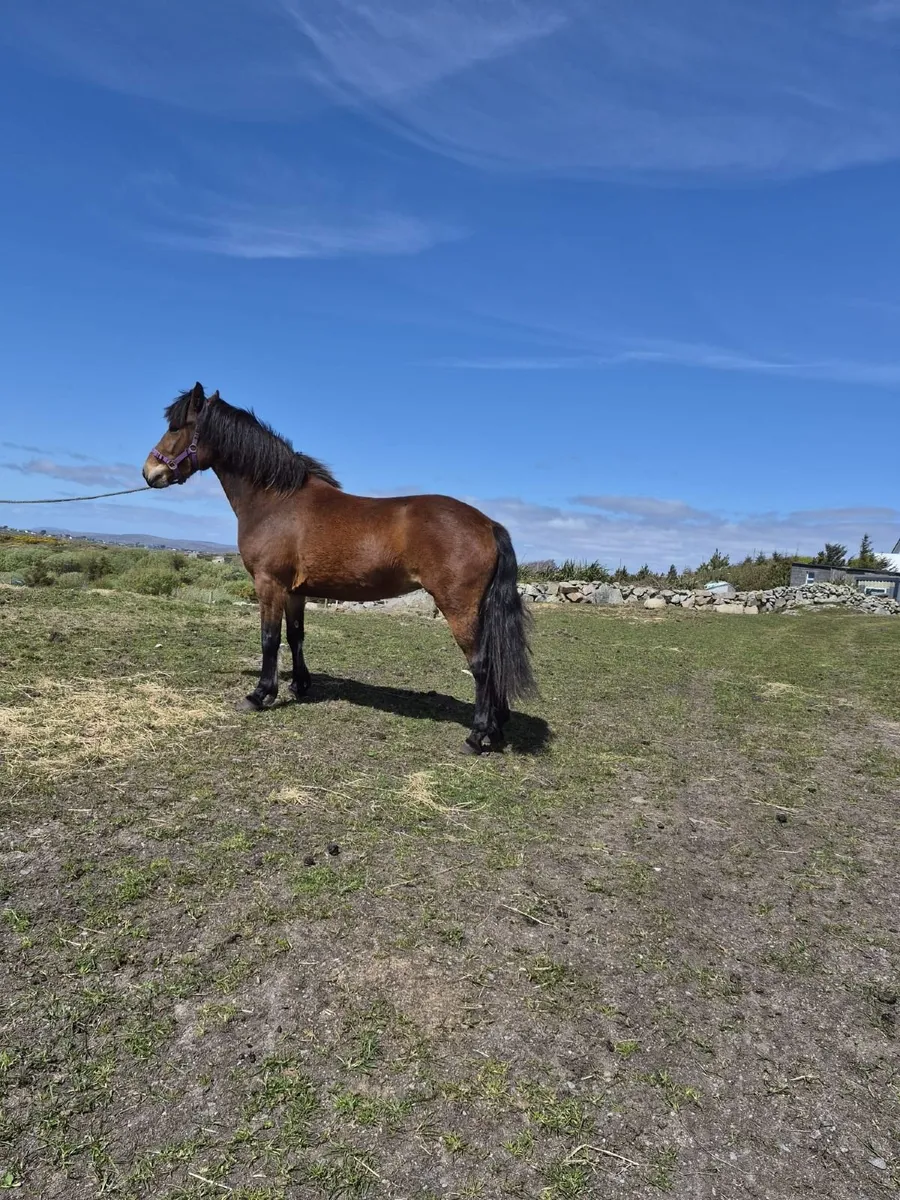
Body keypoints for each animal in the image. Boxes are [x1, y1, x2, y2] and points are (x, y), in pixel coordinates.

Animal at [143, 383, 535, 753]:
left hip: (459, 608)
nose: (150, 472)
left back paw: (476, 736)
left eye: (176, 426)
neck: (277, 501)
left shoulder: (269, 584)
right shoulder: (295, 591)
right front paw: (299, 686)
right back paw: (495, 730)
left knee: (482, 663)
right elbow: (295, 636)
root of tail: (488, 524)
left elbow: (269, 639)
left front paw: (259, 694)